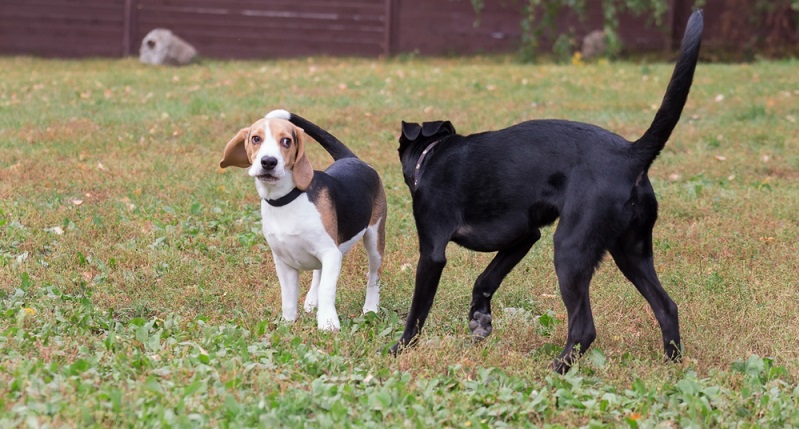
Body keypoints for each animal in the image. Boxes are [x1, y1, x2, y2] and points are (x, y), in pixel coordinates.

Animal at [396, 10, 708, 372]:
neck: (432, 155)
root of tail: (632, 153)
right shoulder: (524, 237)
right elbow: (485, 280)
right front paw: (480, 319)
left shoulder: (432, 251)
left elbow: (418, 311)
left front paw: (399, 348)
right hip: (631, 252)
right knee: (666, 307)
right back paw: (672, 365)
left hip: (571, 250)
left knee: (584, 328)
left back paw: (557, 369)